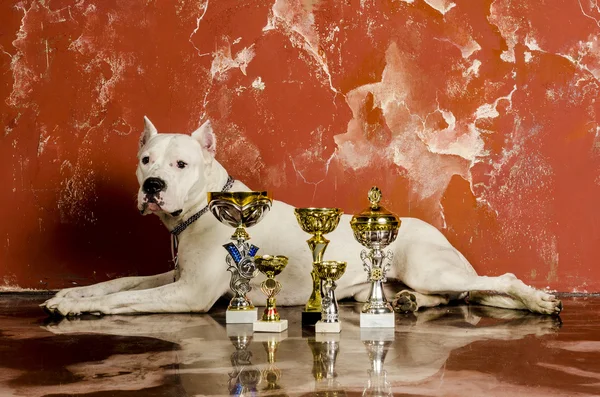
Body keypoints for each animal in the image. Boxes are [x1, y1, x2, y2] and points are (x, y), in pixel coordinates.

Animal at [41, 117, 564, 316]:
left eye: (181, 164)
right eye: (146, 160)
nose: (152, 186)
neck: (204, 208)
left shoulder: (188, 293)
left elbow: (125, 299)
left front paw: (75, 307)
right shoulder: (173, 276)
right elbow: (120, 283)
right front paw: (70, 294)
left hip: (428, 266)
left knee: (497, 282)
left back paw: (537, 301)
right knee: (453, 295)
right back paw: (407, 303)